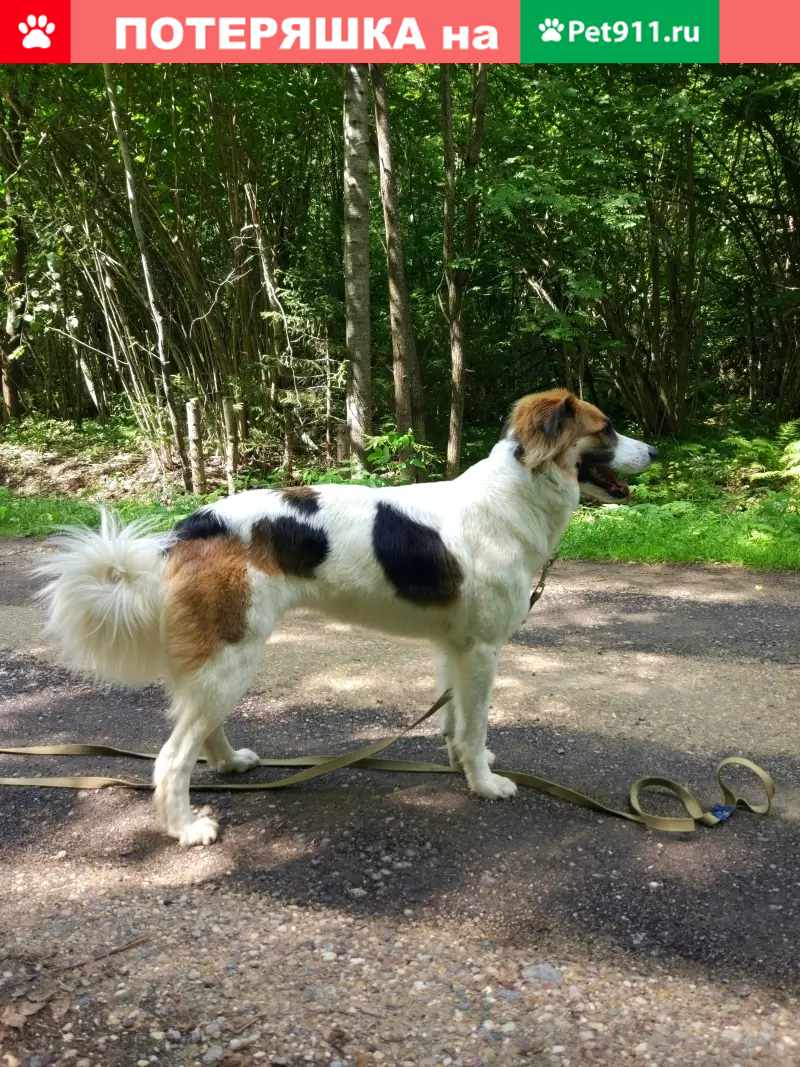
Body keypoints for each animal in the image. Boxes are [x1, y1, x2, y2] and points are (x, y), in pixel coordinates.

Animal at [37, 389, 656, 846]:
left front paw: (462, 763)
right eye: (606, 429)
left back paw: (231, 764)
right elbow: (476, 723)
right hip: (233, 655)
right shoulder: (482, 648)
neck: (513, 497)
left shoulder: (454, 647)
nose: (652, 454)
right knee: (170, 761)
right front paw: (484, 783)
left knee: (201, 729)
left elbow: (455, 721)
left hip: (224, 660)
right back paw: (186, 829)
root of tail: (196, 523)